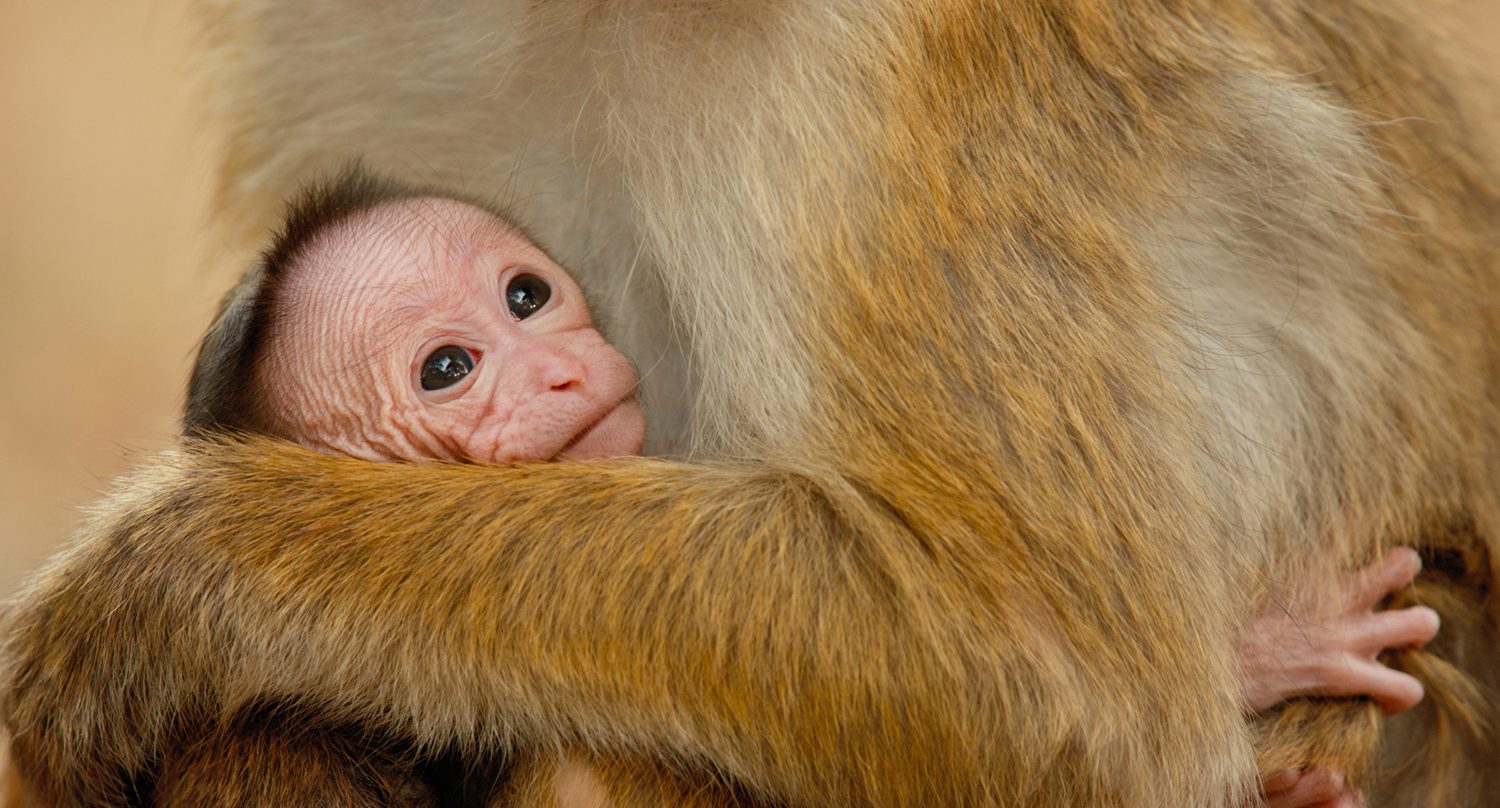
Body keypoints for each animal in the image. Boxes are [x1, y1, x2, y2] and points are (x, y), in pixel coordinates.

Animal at [3, 1, 1499, 806]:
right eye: (449, 366)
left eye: (528, 303)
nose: (556, 375)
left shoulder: (900, 76)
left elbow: (1059, 685)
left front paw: (168, 578)